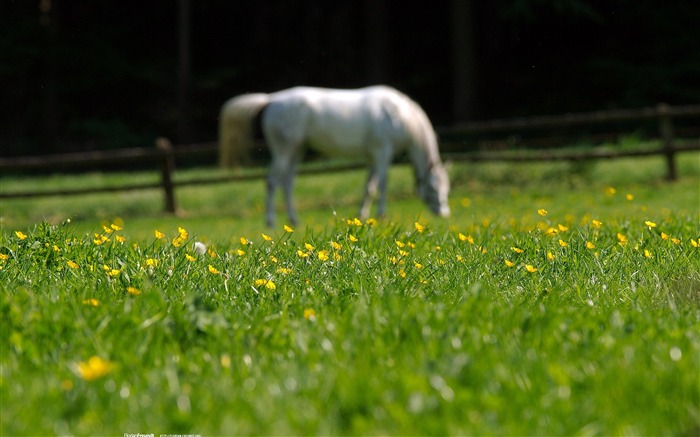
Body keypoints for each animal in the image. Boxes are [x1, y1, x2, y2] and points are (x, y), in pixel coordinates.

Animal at [216, 86, 452, 227]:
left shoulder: (372, 158)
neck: (398, 115)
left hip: (297, 150)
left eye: (446, 188)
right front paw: (382, 213)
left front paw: (362, 214)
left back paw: (294, 219)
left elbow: (369, 187)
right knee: (273, 180)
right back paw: (271, 221)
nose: (444, 212)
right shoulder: (382, 152)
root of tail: (271, 100)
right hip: (284, 149)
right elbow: (383, 184)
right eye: (433, 188)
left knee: (288, 182)